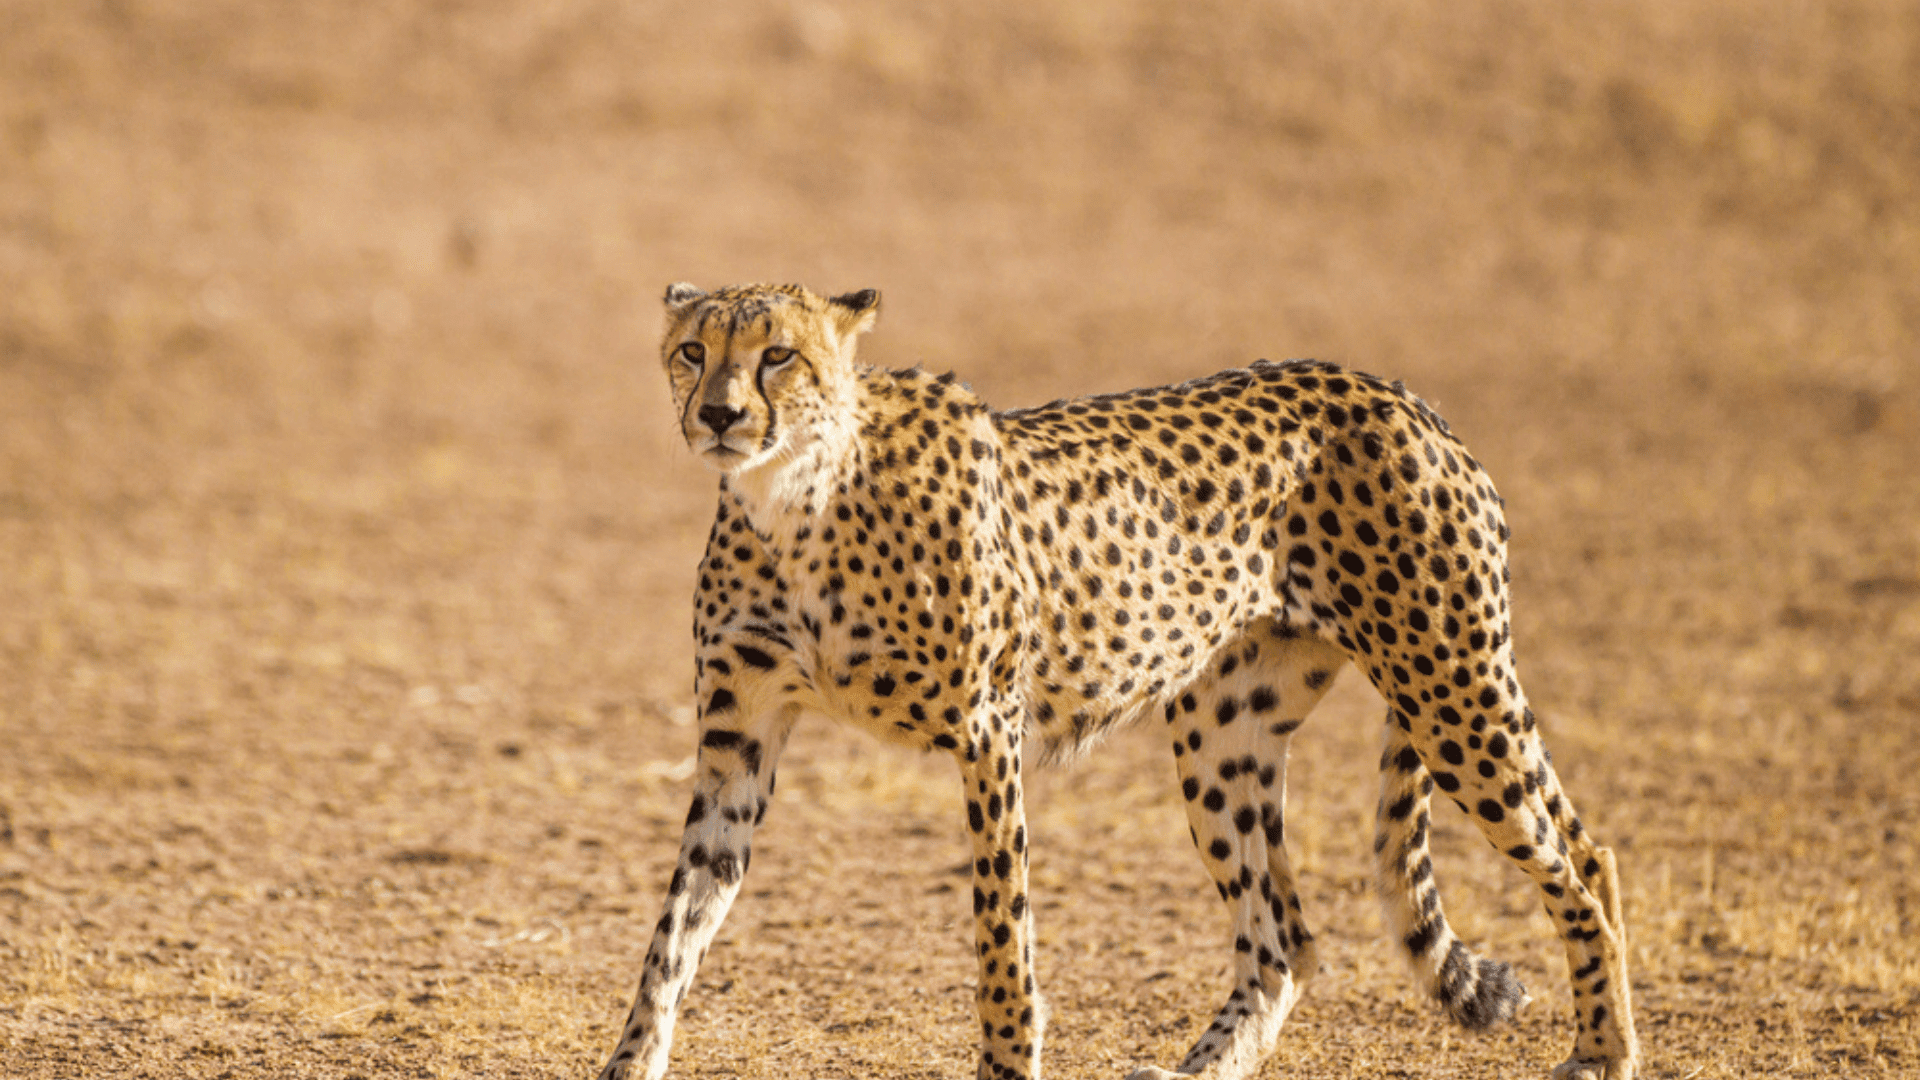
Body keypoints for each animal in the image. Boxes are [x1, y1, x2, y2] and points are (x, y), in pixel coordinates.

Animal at [591, 282, 1643, 1068]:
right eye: (693, 351)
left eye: (778, 355)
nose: (719, 414)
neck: (797, 497)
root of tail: (1399, 395)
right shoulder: (736, 747)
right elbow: (673, 934)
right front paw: (632, 1058)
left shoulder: (989, 730)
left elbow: (1002, 937)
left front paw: (1009, 1059)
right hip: (1227, 734)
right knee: (1285, 944)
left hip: (1450, 687)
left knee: (1583, 864)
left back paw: (1603, 1051)